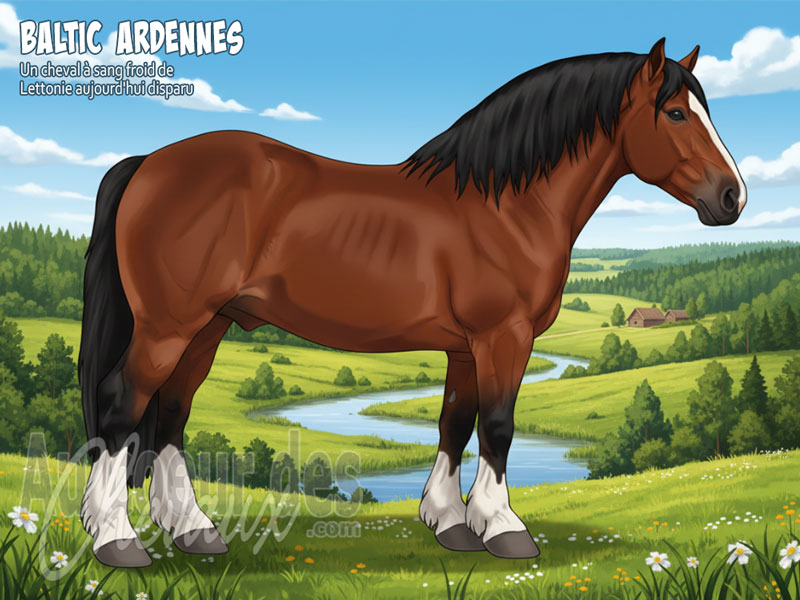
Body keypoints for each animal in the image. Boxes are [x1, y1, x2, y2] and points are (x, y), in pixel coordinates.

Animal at [78, 38, 746, 567]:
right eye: (676, 113)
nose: (733, 197)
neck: (505, 205)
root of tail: (149, 163)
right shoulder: (503, 336)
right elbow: (497, 425)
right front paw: (504, 529)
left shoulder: (466, 347)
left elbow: (454, 421)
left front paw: (451, 522)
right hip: (168, 325)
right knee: (122, 404)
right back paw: (117, 541)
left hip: (207, 326)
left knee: (172, 413)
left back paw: (193, 531)